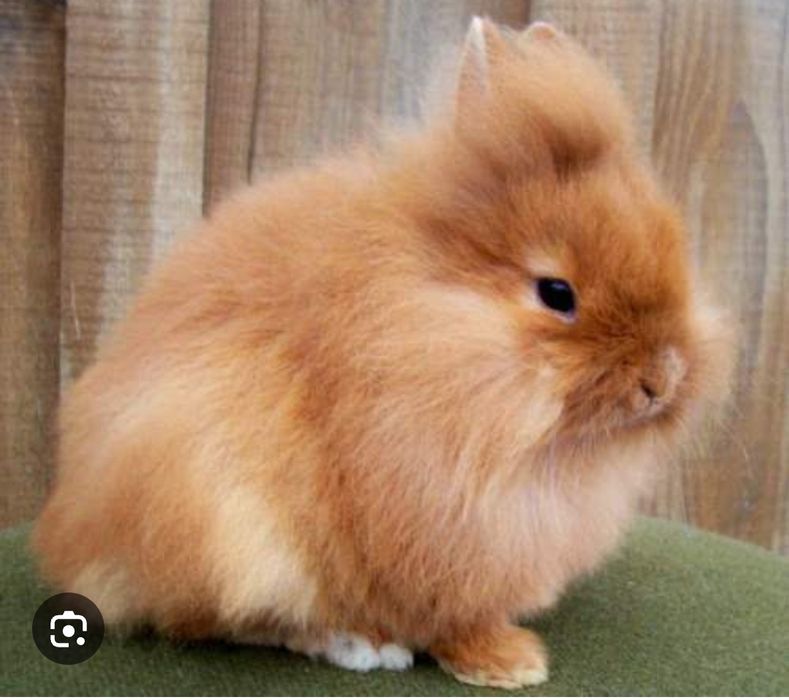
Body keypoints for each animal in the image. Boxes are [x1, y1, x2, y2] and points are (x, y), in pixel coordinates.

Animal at [33, 18, 733, 689]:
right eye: (557, 293)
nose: (663, 378)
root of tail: (75, 535)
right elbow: (435, 608)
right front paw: (505, 664)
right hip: (209, 503)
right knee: (220, 616)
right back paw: (357, 644)